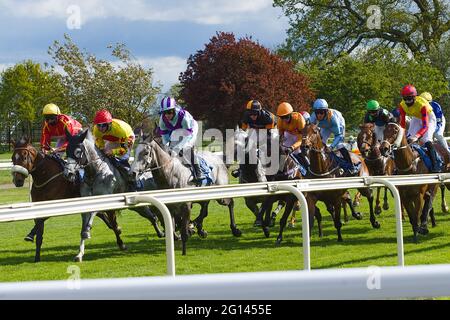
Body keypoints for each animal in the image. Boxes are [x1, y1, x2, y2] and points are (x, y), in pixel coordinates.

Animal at [64, 129, 164, 262]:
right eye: (66, 150)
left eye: (77, 151)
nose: (68, 173)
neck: (94, 173)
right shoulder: (87, 203)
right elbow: (91, 225)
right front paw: (79, 254)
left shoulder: (103, 201)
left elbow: (93, 223)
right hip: (137, 207)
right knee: (152, 217)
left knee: (155, 216)